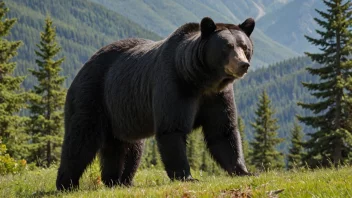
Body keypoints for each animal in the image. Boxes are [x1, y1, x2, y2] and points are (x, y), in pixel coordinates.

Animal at [57, 17, 256, 190]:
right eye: (227, 47)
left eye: (245, 46)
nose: (243, 64)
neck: (201, 80)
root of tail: (84, 67)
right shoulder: (173, 85)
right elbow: (172, 129)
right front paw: (186, 176)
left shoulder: (217, 97)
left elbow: (223, 132)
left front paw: (243, 171)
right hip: (92, 96)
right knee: (81, 140)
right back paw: (67, 184)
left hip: (122, 114)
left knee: (128, 149)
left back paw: (118, 181)